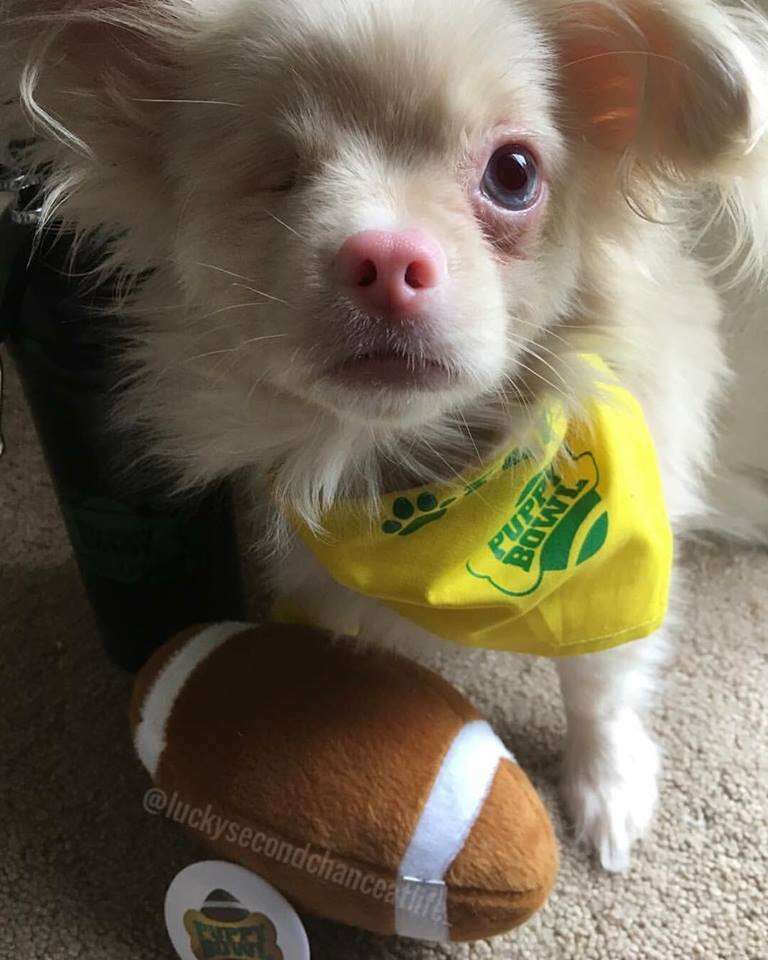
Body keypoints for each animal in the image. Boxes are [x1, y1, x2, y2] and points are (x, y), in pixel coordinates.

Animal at [3, 0, 764, 872]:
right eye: (277, 174)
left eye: (514, 173)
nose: (387, 257)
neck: (431, 487)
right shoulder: (314, 570)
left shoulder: (619, 565)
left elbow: (601, 680)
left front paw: (607, 786)